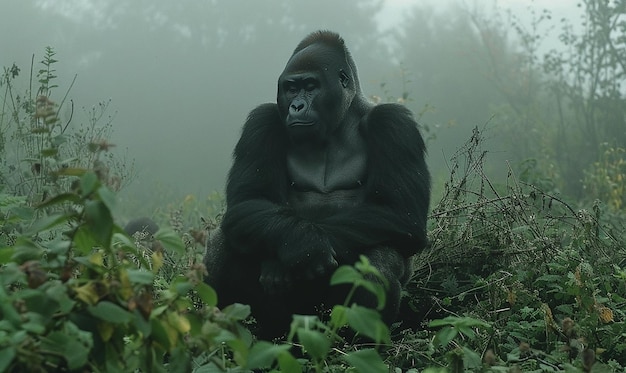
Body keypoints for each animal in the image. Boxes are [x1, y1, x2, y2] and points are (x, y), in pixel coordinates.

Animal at [205, 29, 428, 338]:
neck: (341, 121)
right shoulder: (261, 120)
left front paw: (302, 248)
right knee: (227, 240)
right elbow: (249, 201)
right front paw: (301, 242)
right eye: (290, 88)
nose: (297, 106)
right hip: (295, 321)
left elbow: (400, 212)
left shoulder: (395, 124)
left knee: (380, 256)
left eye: (310, 86)